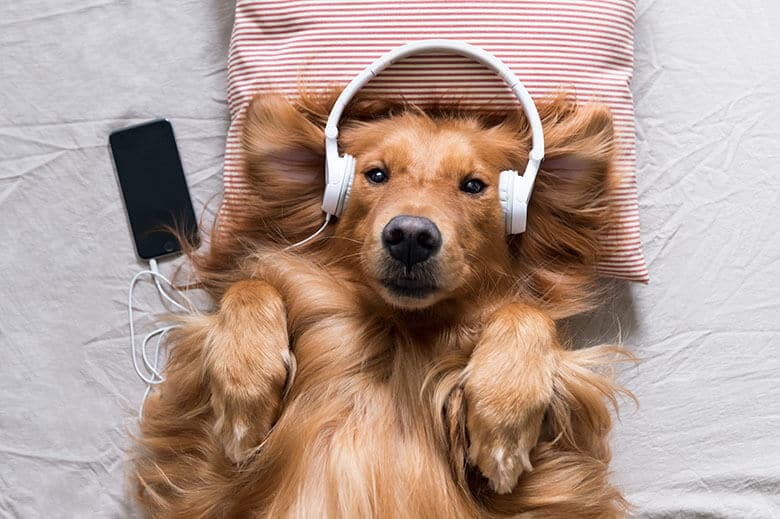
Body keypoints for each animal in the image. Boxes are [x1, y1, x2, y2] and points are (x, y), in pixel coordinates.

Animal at [133, 89, 632, 519]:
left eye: (474, 185)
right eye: (375, 175)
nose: (410, 235)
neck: (396, 333)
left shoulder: (545, 488)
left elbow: (526, 311)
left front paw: (502, 424)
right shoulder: (209, 475)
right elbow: (250, 285)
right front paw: (244, 395)